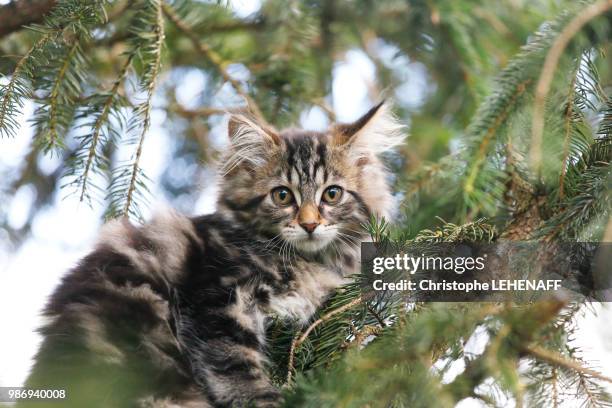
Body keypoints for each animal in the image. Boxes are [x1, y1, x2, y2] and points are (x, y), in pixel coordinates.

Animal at [23, 103, 404, 408]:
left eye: (332, 194)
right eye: (282, 196)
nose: (309, 224)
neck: (303, 262)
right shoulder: (214, 297)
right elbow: (233, 364)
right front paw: (265, 400)